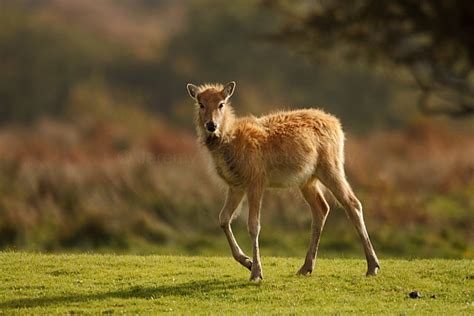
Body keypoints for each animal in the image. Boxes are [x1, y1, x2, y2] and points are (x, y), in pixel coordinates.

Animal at [187, 81, 380, 282]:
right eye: (200, 104)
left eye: (221, 103)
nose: (211, 125)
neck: (231, 144)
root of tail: (338, 125)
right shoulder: (235, 185)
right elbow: (223, 218)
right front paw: (247, 262)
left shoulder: (256, 179)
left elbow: (254, 225)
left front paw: (256, 272)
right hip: (307, 180)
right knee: (322, 208)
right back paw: (306, 267)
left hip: (331, 166)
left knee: (353, 203)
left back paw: (372, 266)